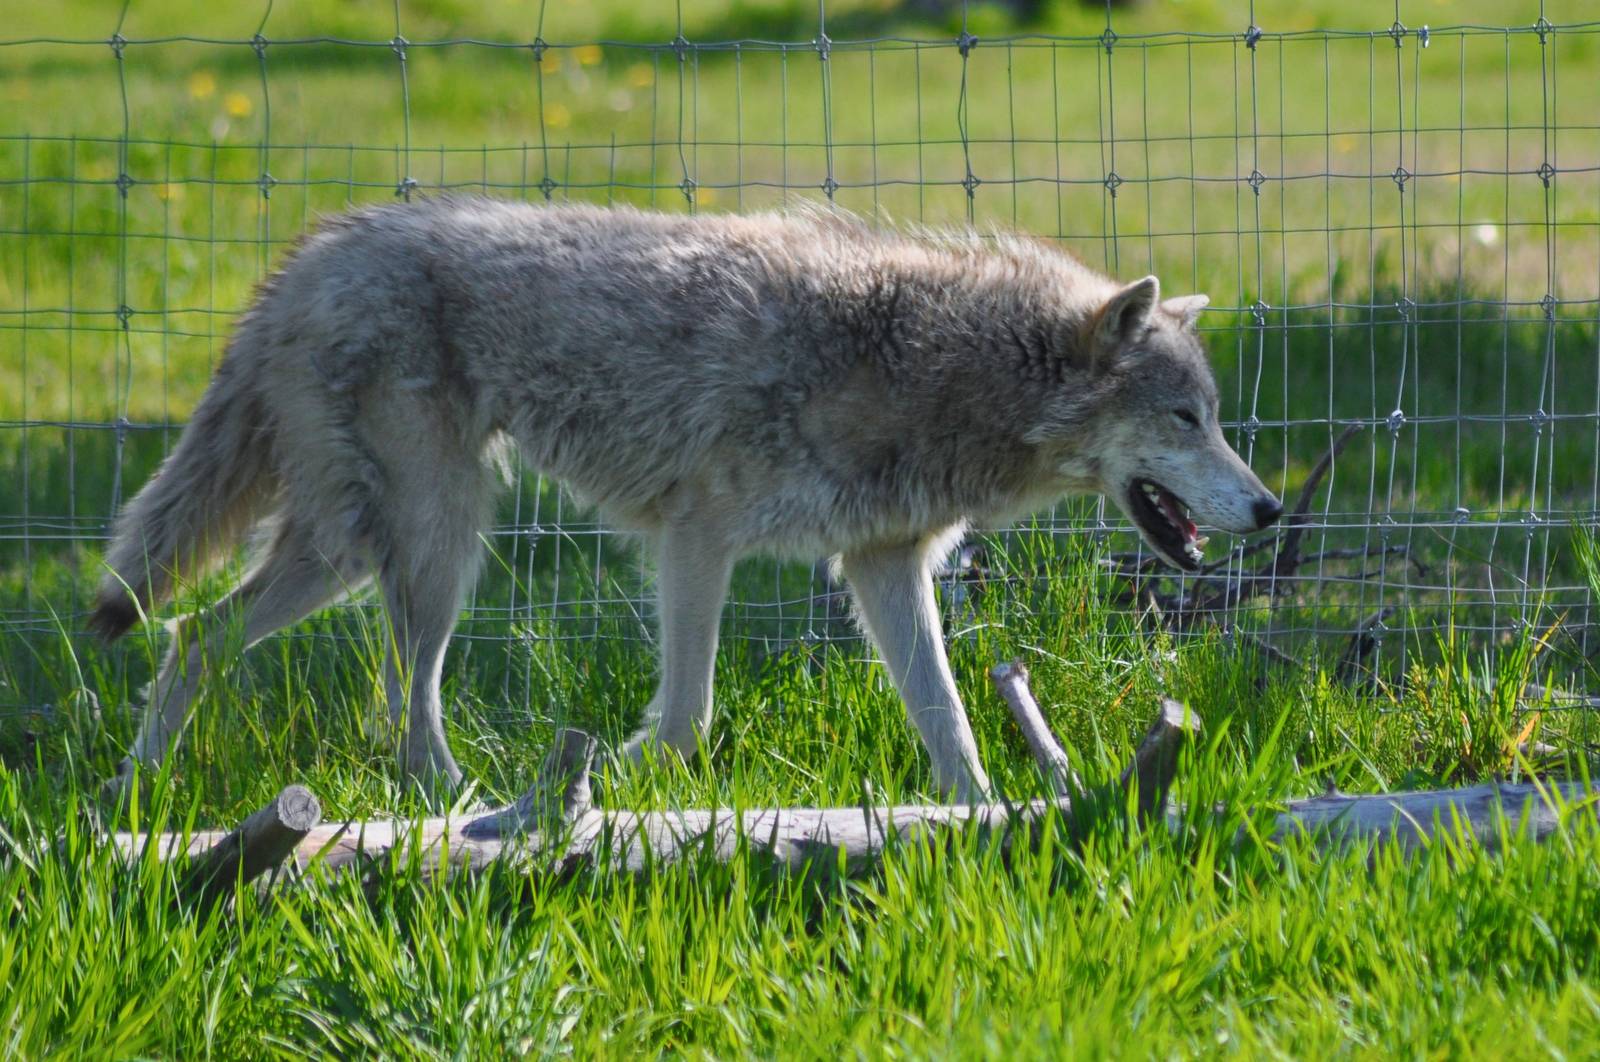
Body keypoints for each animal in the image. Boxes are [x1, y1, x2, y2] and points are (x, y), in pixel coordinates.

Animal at [90, 198, 1282, 803]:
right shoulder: (694, 542)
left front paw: (984, 824)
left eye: (1216, 418)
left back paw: (140, 795)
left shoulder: (881, 565)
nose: (1271, 511)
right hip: (428, 547)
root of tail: (311, 251)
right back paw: (455, 806)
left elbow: (949, 724)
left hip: (375, 554)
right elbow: (685, 719)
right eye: (1187, 419)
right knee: (348, 685)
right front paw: (614, 788)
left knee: (206, 639)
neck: (929, 364)